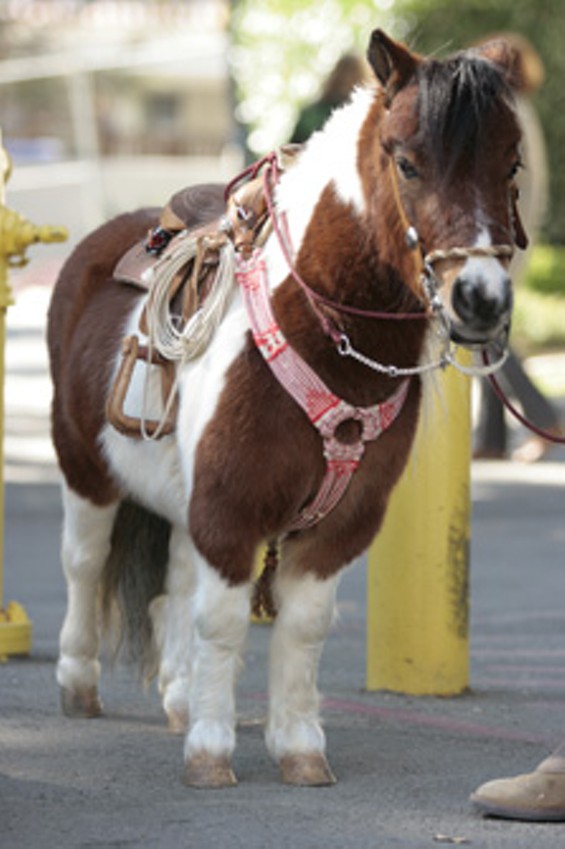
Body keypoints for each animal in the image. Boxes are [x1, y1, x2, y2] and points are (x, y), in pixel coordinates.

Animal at [47, 33, 524, 788]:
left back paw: (178, 696)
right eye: (407, 162)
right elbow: (222, 622)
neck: (318, 334)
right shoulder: (230, 507)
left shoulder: (340, 524)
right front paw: (211, 752)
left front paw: (298, 747)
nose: (479, 298)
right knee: (84, 562)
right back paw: (79, 683)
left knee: (174, 581)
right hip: (84, 471)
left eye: (511, 162)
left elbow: (302, 625)